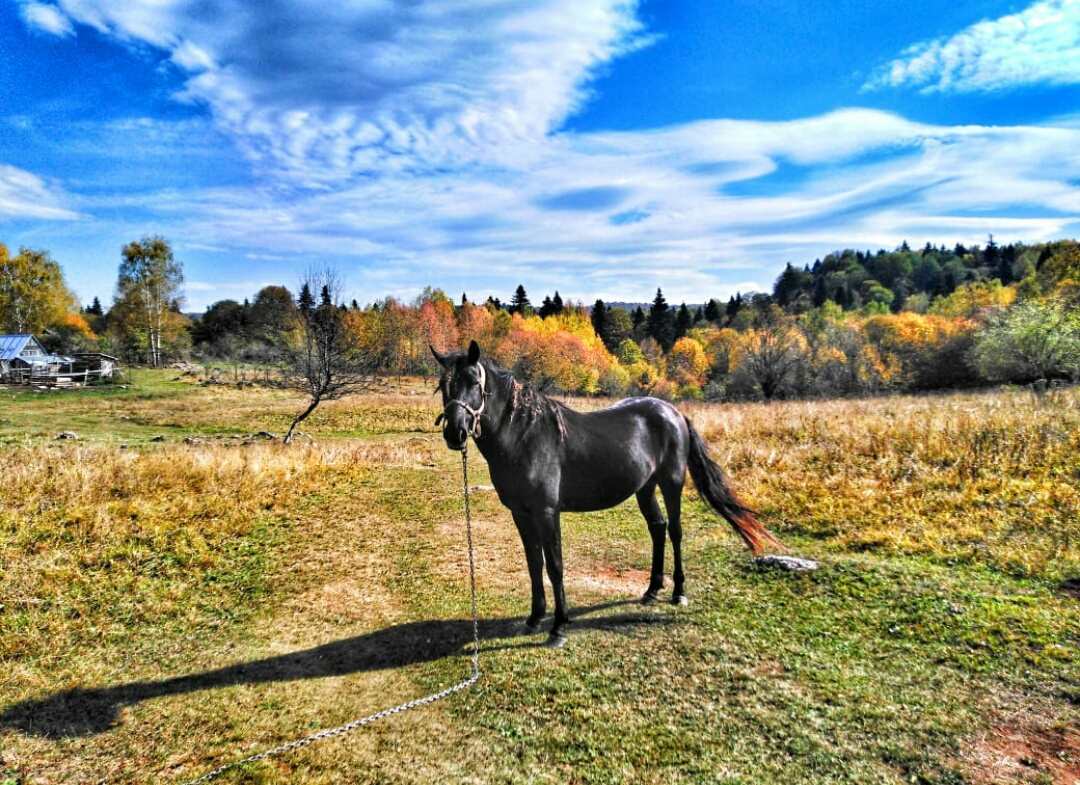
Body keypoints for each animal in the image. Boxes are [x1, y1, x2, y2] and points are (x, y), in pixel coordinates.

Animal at [432, 340, 783, 647]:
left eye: (473, 382)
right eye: (443, 386)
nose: (455, 433)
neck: (525, 436)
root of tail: (673, 412)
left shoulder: (547, 512)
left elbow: (554, 564)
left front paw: (558, 627)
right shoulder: (521, 513)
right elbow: (533, 562)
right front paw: (533, 618)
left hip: (672, 484)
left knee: (675, 532)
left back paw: (678, 592)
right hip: (645, 488)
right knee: (658, 528)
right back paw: (651, 590)